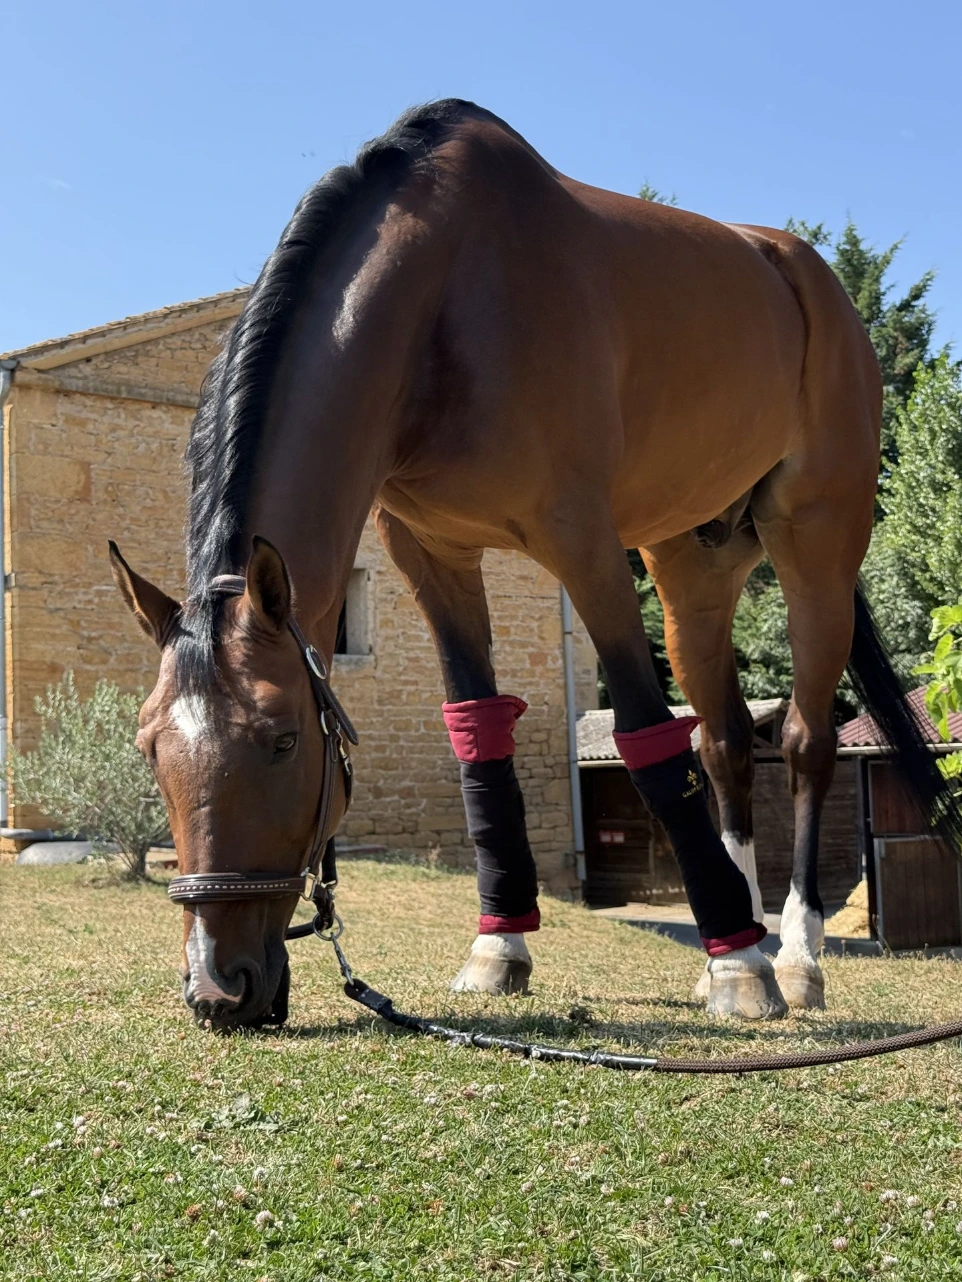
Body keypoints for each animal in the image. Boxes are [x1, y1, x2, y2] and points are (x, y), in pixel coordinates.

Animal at [109, 99, 957, 1030]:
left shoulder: (582, 543)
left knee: (804, 741)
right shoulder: (431, 553)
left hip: (817, 540)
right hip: (688, 565)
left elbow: (646, 736)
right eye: (150, 745)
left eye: (283, 739)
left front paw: (741, 968)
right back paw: (747, 936)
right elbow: (479, 732)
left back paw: (793, 955)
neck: (447, 300)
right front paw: (501, 947)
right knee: (729, 741)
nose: (219, 987)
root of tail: (808, 276)